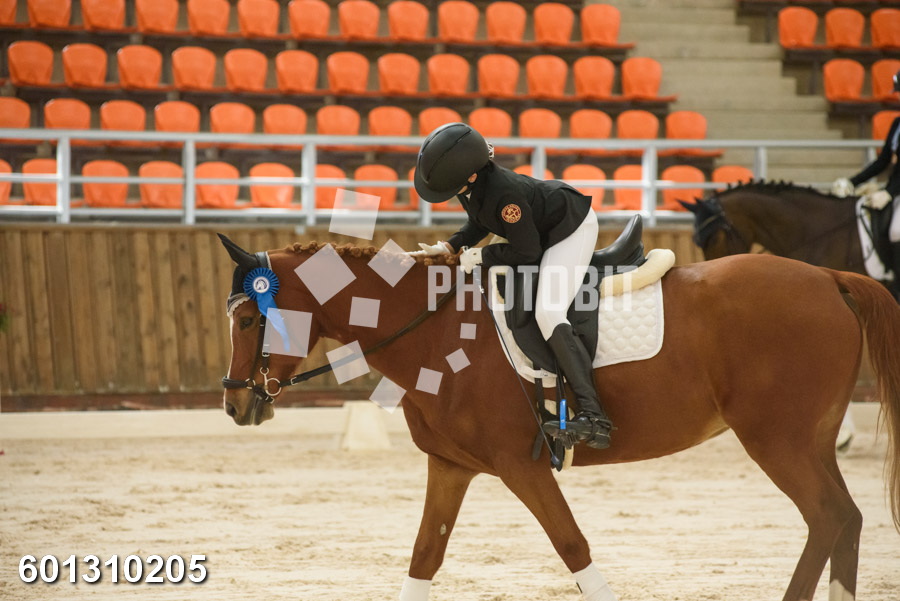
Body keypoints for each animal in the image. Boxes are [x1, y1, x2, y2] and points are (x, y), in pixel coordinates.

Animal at [219, 234, 900, 601]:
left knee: (828, 517)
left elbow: (572, 546)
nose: (234, 404)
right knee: (846, 518)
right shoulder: (450, 468)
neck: (434, 329)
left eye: (249, 319)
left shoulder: (522, 466)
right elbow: (423, 559)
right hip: (809, 441)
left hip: (777, 440)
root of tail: (828, 278)